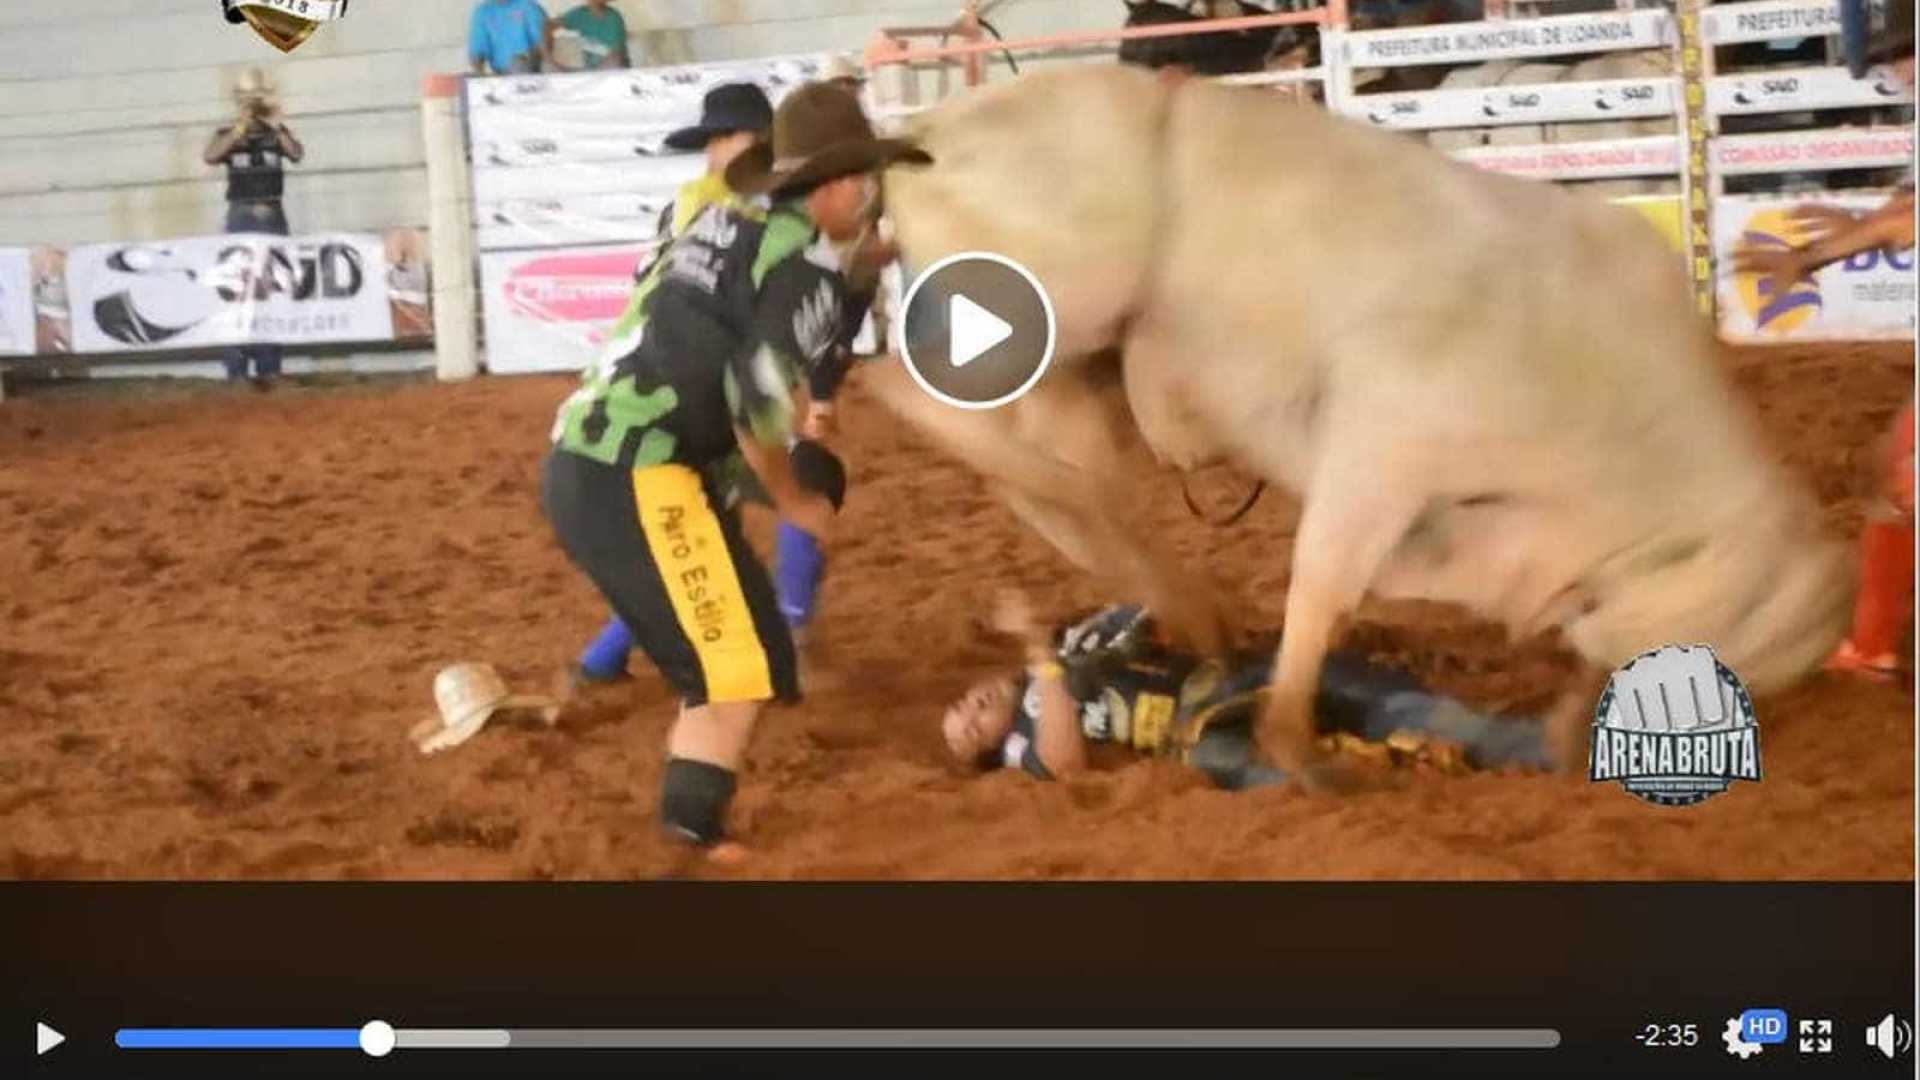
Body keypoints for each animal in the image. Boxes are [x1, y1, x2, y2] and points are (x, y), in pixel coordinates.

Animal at [856, 62, 1843, 776]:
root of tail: (928, 130)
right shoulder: (1384, 445)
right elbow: (1322, 581)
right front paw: (1288, 738)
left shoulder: (1466, 528)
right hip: (1046, 313)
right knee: (929, 401)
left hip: (1070, 377)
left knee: (1057, 487)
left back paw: (1187, 603)